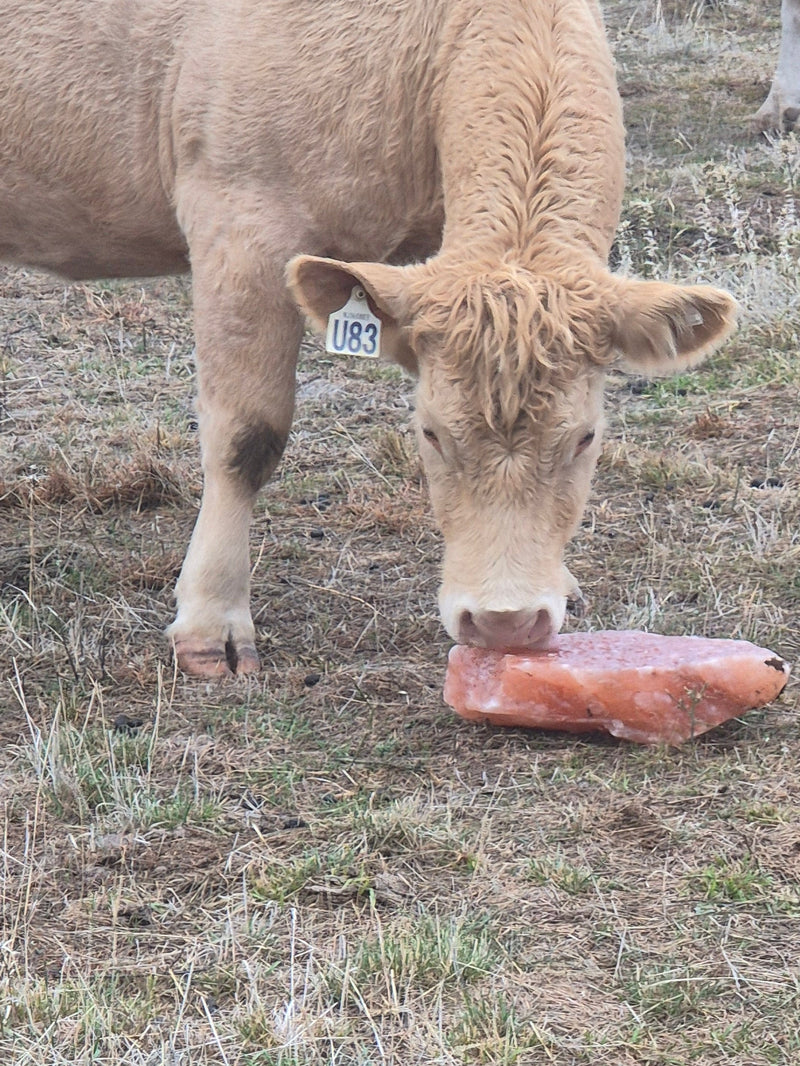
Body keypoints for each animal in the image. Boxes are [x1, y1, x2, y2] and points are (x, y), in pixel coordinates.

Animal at [0, 0, 736, 677]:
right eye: (431, 435)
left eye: (586, 438)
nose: (505, 622)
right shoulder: (240, 223)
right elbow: (246, 436)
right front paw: (213, 620)